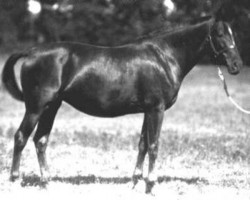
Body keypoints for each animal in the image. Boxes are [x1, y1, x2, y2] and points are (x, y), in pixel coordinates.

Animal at [1, 16, 242, 193]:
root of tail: (32, 51)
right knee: (21, 137)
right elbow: (154, 145)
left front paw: (135, 182)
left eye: (233, 34)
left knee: (40, 140)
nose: (236, 65)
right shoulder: (157, 109)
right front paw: (151, 185)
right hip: (36, 107)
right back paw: (15, 180)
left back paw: (46, 182)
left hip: (52, 107)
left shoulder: (148, 110)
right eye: (220, 35)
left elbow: (143, 144)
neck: (164, 57)